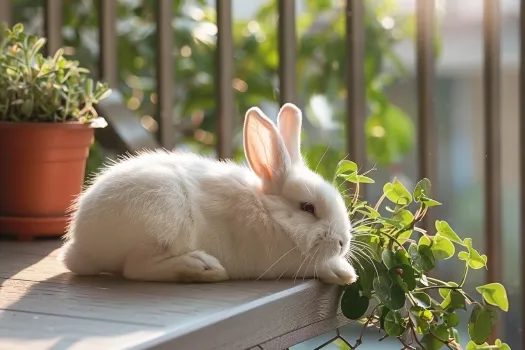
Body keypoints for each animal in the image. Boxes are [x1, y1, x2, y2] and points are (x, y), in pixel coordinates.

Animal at [59, 102, 358, 286]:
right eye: (308, 207)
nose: (342, 242)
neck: (268, 211)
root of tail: (79, 245)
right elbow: (314, 266)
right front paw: (343, 271)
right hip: (162, 217)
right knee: (135, 268)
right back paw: (201, 267)